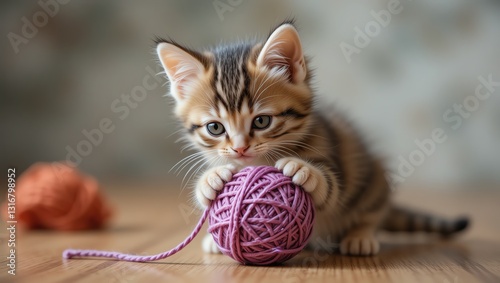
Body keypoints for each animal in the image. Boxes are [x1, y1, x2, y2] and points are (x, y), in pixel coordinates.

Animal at [155, 20, 468, 258]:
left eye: (261, 121)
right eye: (215, 128)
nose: (240, 148)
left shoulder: (330, 154)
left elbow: (331, 187)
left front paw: (303, 169)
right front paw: (210, 179)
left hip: (374, 178)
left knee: (371, 213)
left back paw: (360, 236)